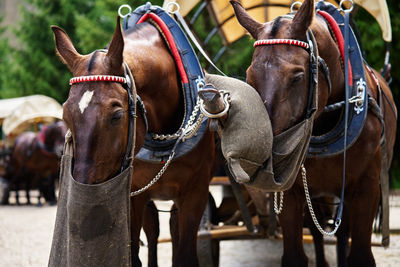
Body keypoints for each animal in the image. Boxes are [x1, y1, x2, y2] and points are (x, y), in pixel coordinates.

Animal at [52, 15, 216, 266]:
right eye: (65, 116)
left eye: (117, 115)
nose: (86, 195)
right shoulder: (133, 193)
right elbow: (133, 254)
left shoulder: (195, 192)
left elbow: (185, 255)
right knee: (154, 230)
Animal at [231, 0, 396, 266]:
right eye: (249, 76)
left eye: (297, 76)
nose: (264, 157)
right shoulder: (292, 191)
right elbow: (295, 254)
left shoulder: (366, 188)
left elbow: (359, 253)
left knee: (341, 233)